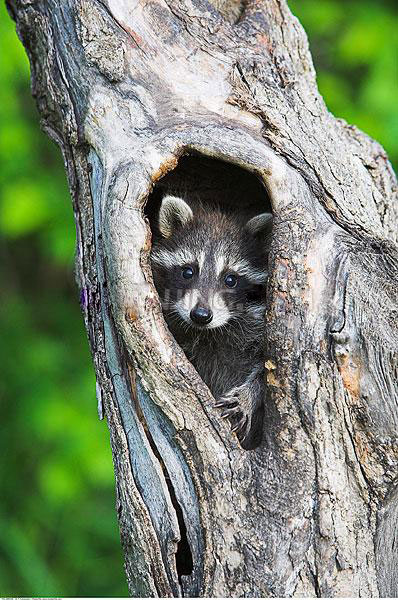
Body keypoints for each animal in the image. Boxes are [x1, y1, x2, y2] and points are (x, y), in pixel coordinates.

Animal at [151, 195, 272, 448]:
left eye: (230, 279)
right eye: (188, 272)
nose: (201, 315)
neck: (210, 332)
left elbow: (267, 368)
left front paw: (248, 395)